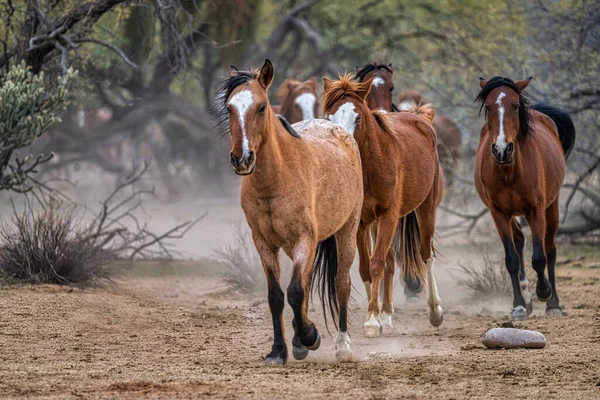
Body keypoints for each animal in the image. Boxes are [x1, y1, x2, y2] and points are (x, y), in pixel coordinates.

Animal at [213, 60, 364, 366]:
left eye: (261, 107)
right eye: (230, 108)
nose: (242, 158)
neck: (277, 179)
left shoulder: (304, 239)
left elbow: (294, 292)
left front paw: (310, 335)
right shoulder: (264, 243)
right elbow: (276, 296)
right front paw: (279, 350)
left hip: (347, 231)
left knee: (341, 283)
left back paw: (342, 345)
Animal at [324, 74, 446, 338]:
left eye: (358, 117)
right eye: (330, 117)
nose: (343, 145)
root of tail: (420, 120)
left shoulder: (389, 215)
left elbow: (377, 264)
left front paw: (372, 321)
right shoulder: (361, 222)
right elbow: (365, 268)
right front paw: (375, 317)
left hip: (425, 209)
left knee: (426, 254)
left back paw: (435, 311)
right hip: (377, 223)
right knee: (391, 260)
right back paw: (387, 317)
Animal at [474, 76, 576, 320]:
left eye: (515, 105)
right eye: (489, 107)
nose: (502, 149)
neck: (509, 170)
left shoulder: (535, 210)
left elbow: (539, 258)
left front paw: (544, 291)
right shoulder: (498, 213)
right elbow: (511, 259)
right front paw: (519, 305)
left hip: (552, 207)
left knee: (550, 248)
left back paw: (553, 304)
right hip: (512, 213)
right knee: (519, 241)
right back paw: (527, 300)